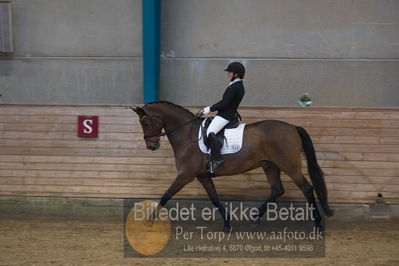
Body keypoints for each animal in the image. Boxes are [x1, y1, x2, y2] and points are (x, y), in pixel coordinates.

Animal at [132, 101, 334, 232]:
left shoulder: (185, 175)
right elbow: (214, 198)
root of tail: (292, 127)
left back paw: (318, 225)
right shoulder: (202, 176)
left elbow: (166, 195)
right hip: (270, 166)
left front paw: (149, 221)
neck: (187, 135)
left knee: (307, 188)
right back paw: (254, 219)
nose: (151, 146)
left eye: (145, 122)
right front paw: (227, 224)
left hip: (289, 165)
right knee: (277, 189)